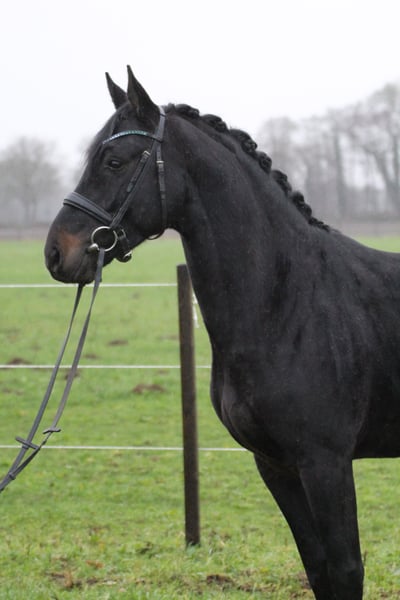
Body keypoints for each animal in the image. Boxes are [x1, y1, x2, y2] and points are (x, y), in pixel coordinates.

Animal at [45, 67, 400, 600]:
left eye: (114, 160)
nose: (55, 252)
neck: (290, 302)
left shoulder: (326, 463)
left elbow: (345, 570)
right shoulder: (275, 464)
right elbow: (318, 569)